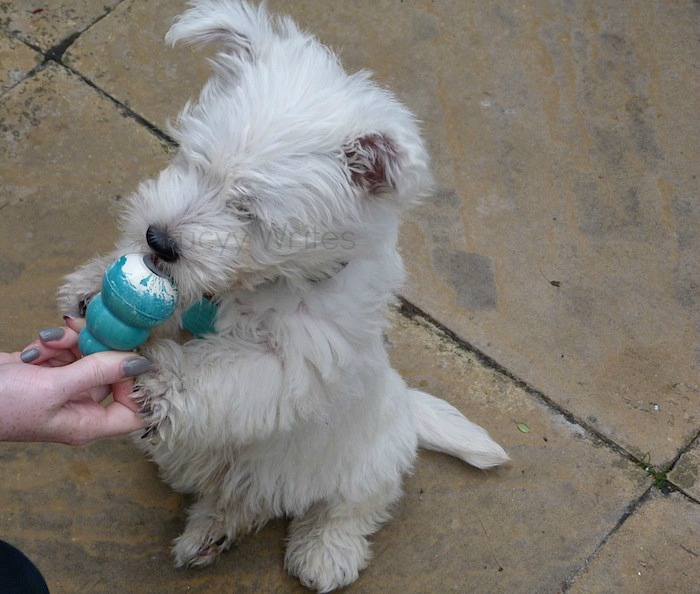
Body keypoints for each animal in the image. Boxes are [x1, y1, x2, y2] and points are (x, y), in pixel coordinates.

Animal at [58, 2, 508, 588]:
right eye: (194, 162)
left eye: (249, 210)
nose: (158, 240)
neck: (274, 281)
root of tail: (407, 405)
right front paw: (93, 288)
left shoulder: (293, 361)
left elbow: (220, 371)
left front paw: (157, 383)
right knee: (240, 498)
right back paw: (209, 534)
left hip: (367, 461)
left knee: (356, 504)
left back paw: (323, 552)